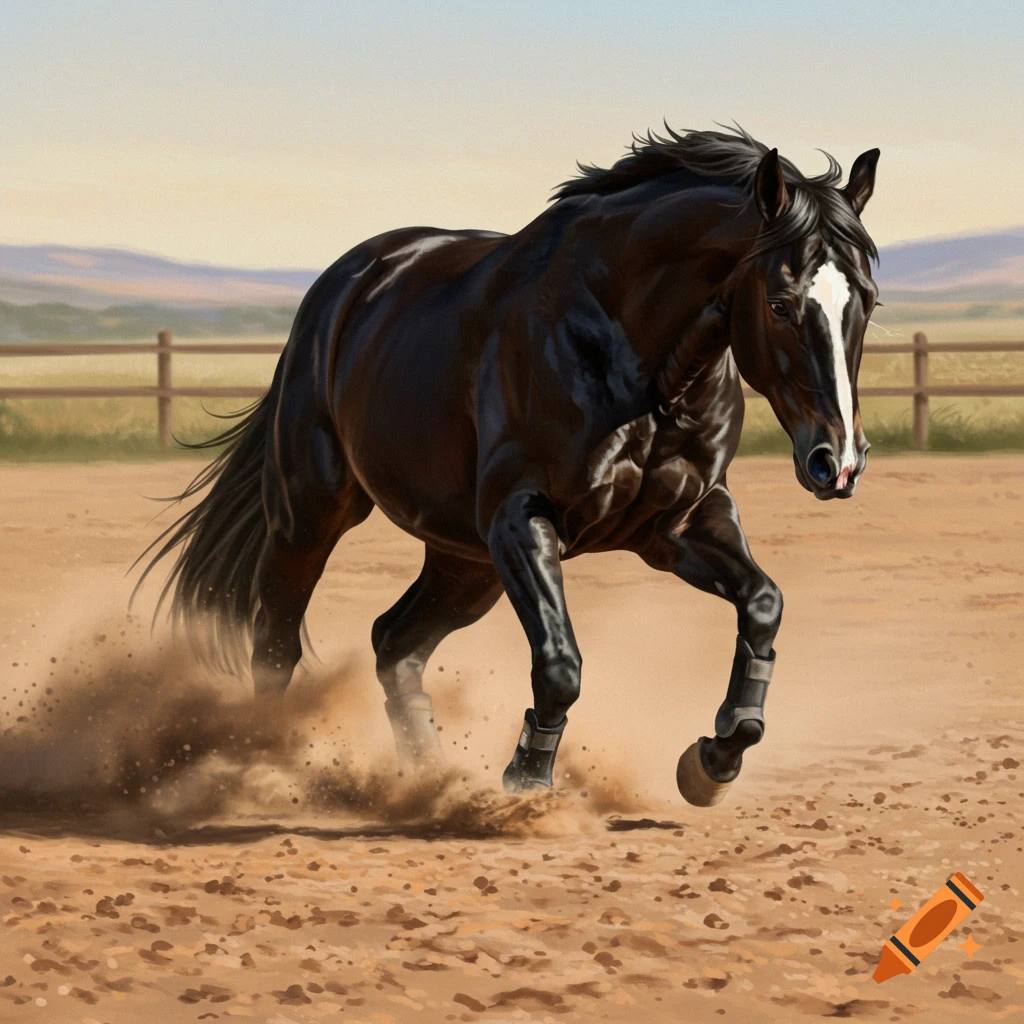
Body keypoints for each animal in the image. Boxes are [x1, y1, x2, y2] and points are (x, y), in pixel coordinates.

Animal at [135, 124, 880, 806]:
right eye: (781, 303)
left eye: (868, 300)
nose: (836, 461)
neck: (627, 350)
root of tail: (343, 287)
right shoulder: (522, 520)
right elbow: (560, 663)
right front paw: (526, 778)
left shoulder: (680, 523)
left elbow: (763, 604)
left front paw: (714, 760)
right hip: (313, 514)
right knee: (278, 642)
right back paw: (262, 762)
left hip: (465, 561)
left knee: (394, 643)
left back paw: (428, 777)